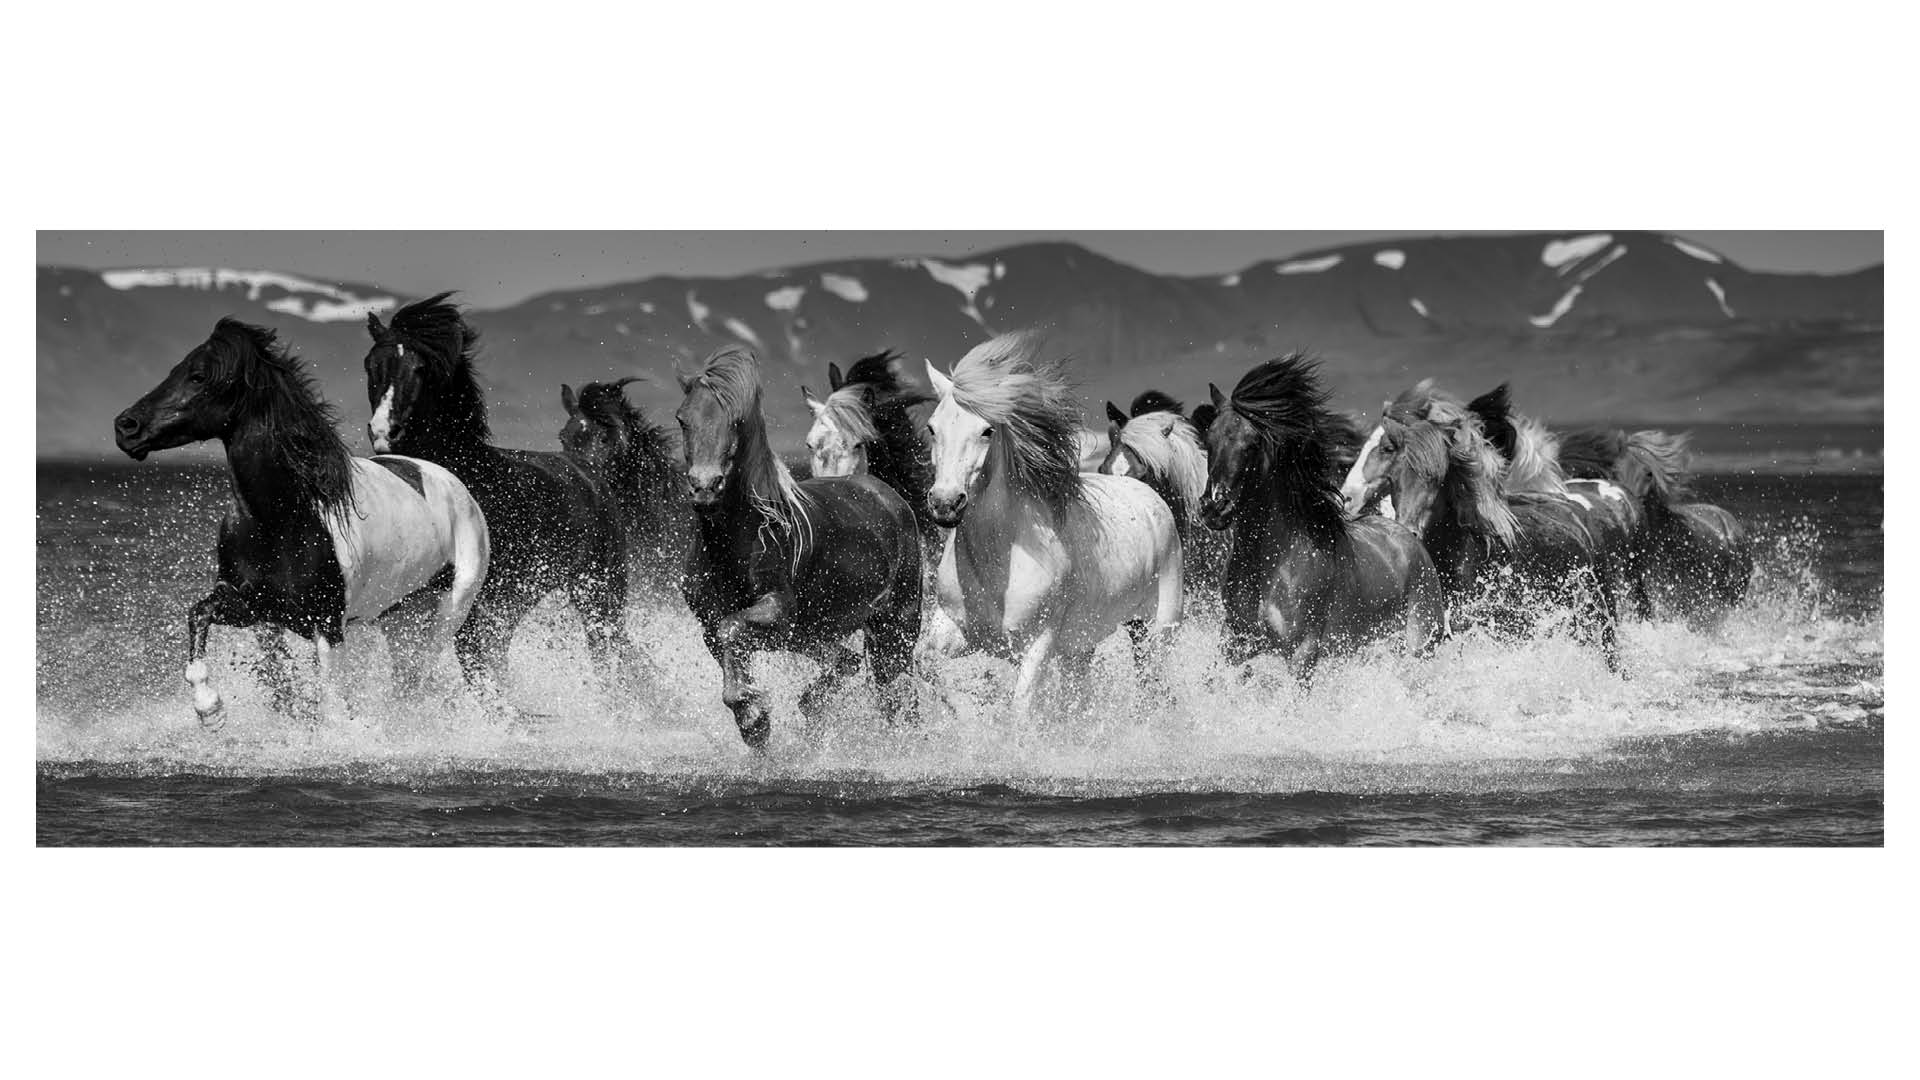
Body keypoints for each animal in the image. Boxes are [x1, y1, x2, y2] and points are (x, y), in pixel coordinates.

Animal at [112, 318, 491, 726]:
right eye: (175, 370)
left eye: (198, 376)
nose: (126, 426)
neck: (279, 522)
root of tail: (459, 489)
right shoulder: (252, 608)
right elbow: (200, 616)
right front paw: (210, 709)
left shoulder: (327, 626)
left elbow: (332, 702)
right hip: (398, 616)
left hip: (450, 610)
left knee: (419, 677)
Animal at [362, 293, 638, 701]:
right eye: (371, 365)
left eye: (421, 369)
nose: (383, 432)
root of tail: (589, 468)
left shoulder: (467, 611)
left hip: (599, 595)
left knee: (610, 655)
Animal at [677, 346, 924, 749]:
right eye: (683, 418)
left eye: (737, 421)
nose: (705, 487)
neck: (734, 543)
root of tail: (886, 494)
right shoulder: (710, 623)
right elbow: (726, 639)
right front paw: (753, 720)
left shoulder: (779, 610)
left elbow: (732, 628)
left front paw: (753, 714)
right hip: (815, 634)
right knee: (847, 665)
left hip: (894, 627)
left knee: (896, 691)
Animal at [921, 333, 1184, 720]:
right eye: (932, 428)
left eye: (986, 431)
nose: (945, 503)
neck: (998, 561)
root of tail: (1151, 496)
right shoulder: (954, 627)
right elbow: (924, 665)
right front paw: (962, 712)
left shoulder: (1037, 643)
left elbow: (1021, 709)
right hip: (1081, 646)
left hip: (1155, 630)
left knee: (1153, 687)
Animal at [1197, 356, 1442, 682]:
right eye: (1209, 440)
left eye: (1252, 444)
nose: (1214, 507)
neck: (1274, 561)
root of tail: (1408, 540)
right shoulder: (1237, 639)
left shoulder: (1303, 651)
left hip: (1420, 645)